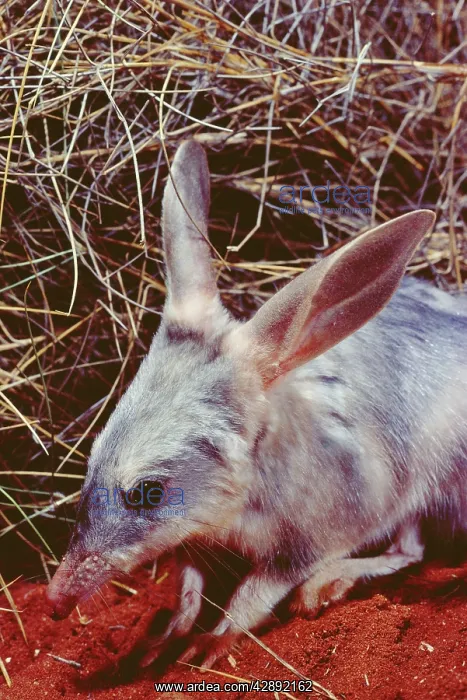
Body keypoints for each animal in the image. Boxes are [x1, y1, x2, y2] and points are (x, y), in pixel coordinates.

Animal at [46, 140, 467, 669]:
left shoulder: (312, 536)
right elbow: (188, 583)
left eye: (148, 493)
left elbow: (251, 593)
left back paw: (329, 584)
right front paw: (167, 637)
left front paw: (210, 643)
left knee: (412, 549)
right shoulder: (194, 537)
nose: (55, 600)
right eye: (92, 457)